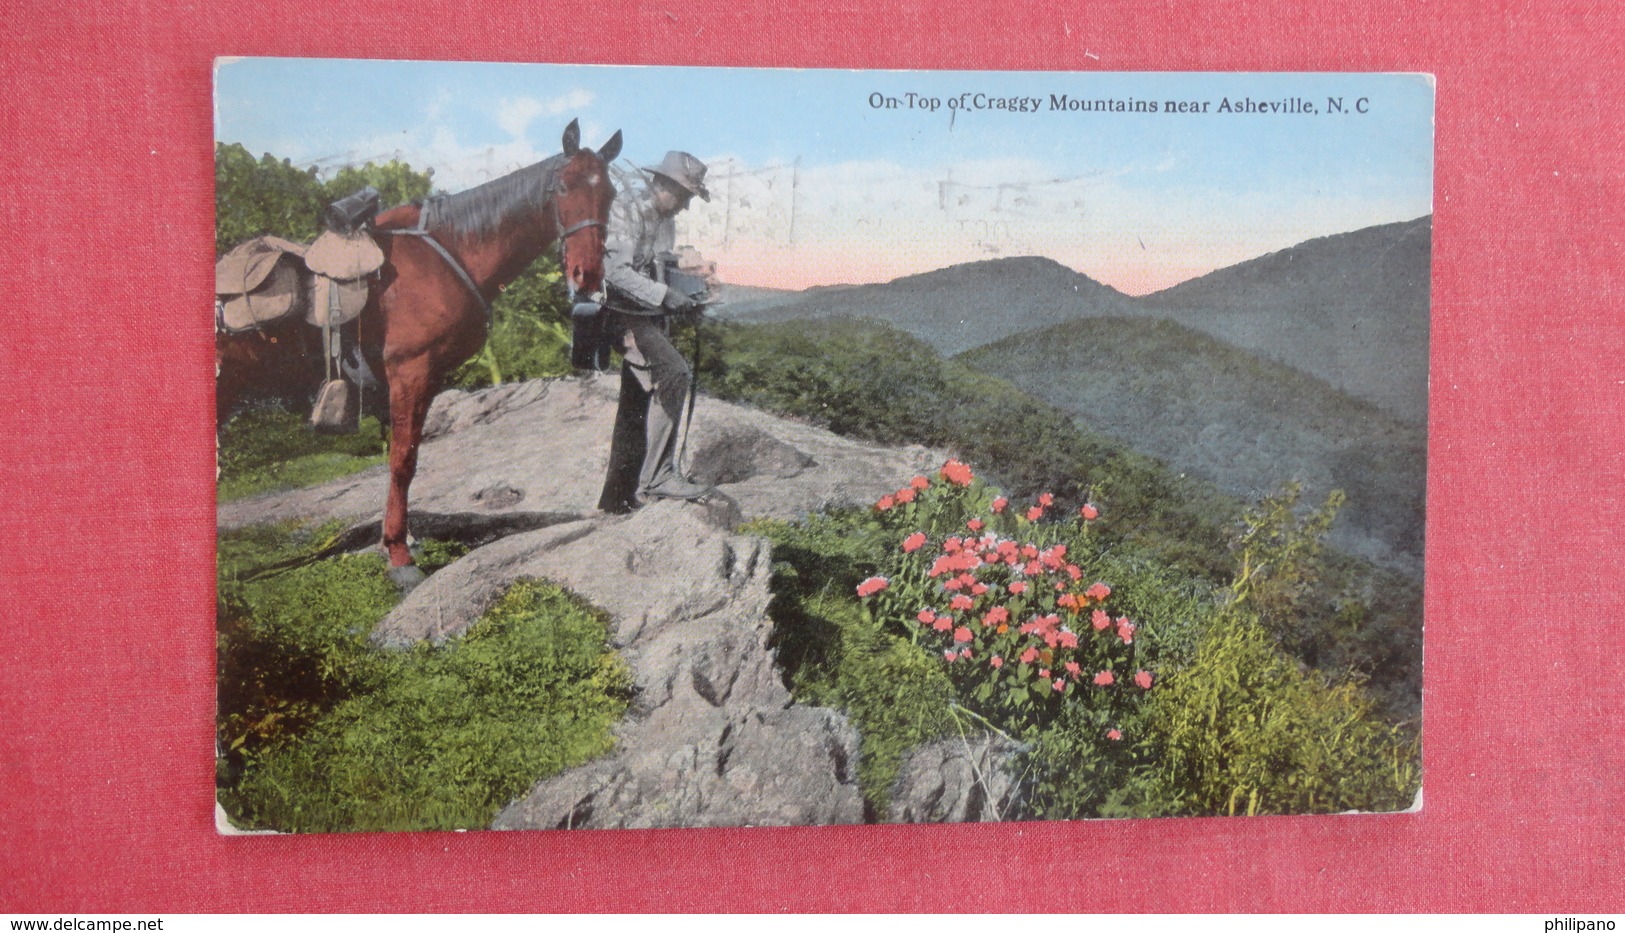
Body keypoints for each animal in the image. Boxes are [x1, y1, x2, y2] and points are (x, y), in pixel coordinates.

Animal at [357, 117, 620, 585]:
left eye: (610, 194)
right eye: (562, 188)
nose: (586, 274)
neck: (443, 252)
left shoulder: (424, 378)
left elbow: (410, 457)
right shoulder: (408, 371)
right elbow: (402, 461)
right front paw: (399, 555)